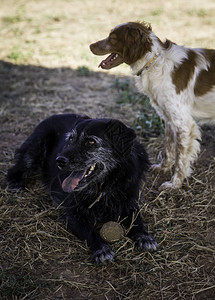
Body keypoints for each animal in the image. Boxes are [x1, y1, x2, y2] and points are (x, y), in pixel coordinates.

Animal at [7, 113, 158, 262]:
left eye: (91, 142)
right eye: (70, 139)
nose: (59, 160)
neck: (104, 186)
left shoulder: (129, 202)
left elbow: (137, 220)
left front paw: (145, 237)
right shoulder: (73, 213)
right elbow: (89, 231)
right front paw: (102, 249)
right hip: (35, 149)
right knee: (16, 167)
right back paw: (14, 182)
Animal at [90, 21, 215, 190]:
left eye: (113, 38)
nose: (90, 45)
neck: (156, 62)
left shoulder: (183, 124)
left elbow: (181, 158)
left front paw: (174, 183)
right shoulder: (169, 119)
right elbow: (169, 148)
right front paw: (163, 167)